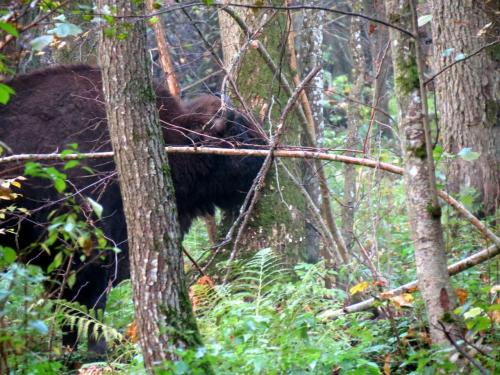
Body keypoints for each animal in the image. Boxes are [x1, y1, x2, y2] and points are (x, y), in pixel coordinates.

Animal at [0, 64, 266, 352]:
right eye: (238, 132)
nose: (269, 151)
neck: (171, 138)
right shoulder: (83, 254)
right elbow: (84, 309)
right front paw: (96, 351)